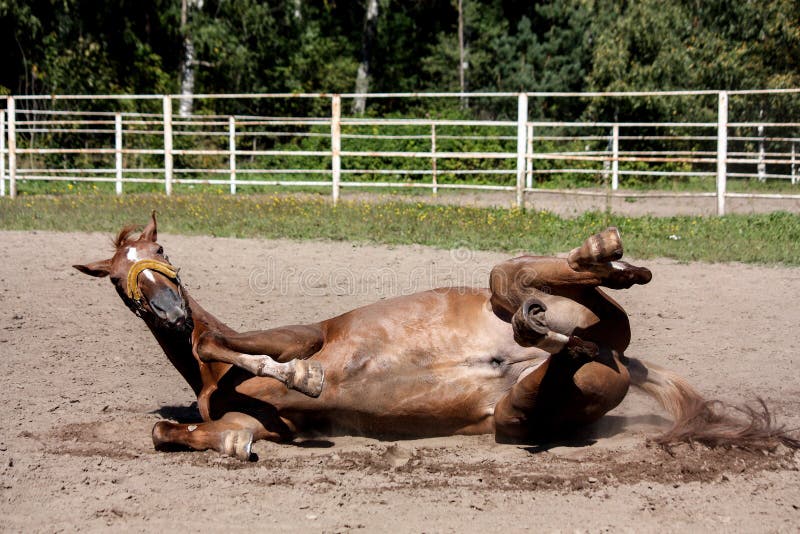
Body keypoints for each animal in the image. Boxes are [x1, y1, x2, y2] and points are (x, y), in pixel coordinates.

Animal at [73, 214, 792, 460]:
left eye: (162, 251)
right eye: (118, 281)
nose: (169, 313)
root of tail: (619, 357)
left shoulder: (295, 336)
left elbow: (234, 347)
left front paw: (299, 377)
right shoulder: (276, 425)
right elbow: (173, 432)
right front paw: (230, 442)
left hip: (558, 316)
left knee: (512, 278)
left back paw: (600, 253)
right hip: (524, 409)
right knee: (559, 348)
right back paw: (554, 321)